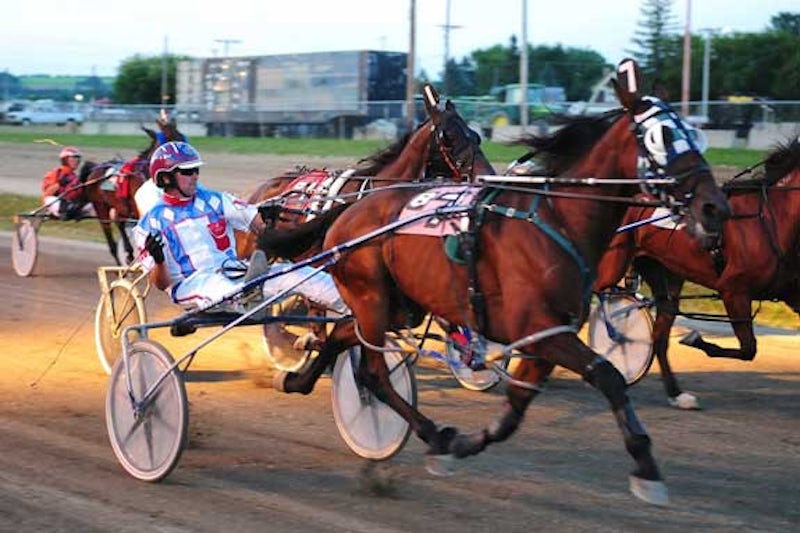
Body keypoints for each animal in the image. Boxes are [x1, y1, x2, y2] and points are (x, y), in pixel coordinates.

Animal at [261, 59, 731, 505]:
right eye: (661, 137)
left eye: (694, 134)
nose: (715, 207)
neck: (556, 219)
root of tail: (349, 210)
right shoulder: (543, 329)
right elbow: (609, 376)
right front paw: (646, 467)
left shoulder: (546, 336)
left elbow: (515, 410)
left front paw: (467, 442)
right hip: (373, 295)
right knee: (372, 370)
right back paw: (423, 427)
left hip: (396, 304)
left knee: (346, 333)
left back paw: (301, 380)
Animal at [594, 136, 800, 409]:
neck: (771, 217)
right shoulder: (733, 290)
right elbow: (748, 349)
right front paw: (694, 339)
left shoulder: (791, 292)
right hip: (612, 261)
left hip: (665, 275)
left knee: (660, 336)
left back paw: (676, 394)